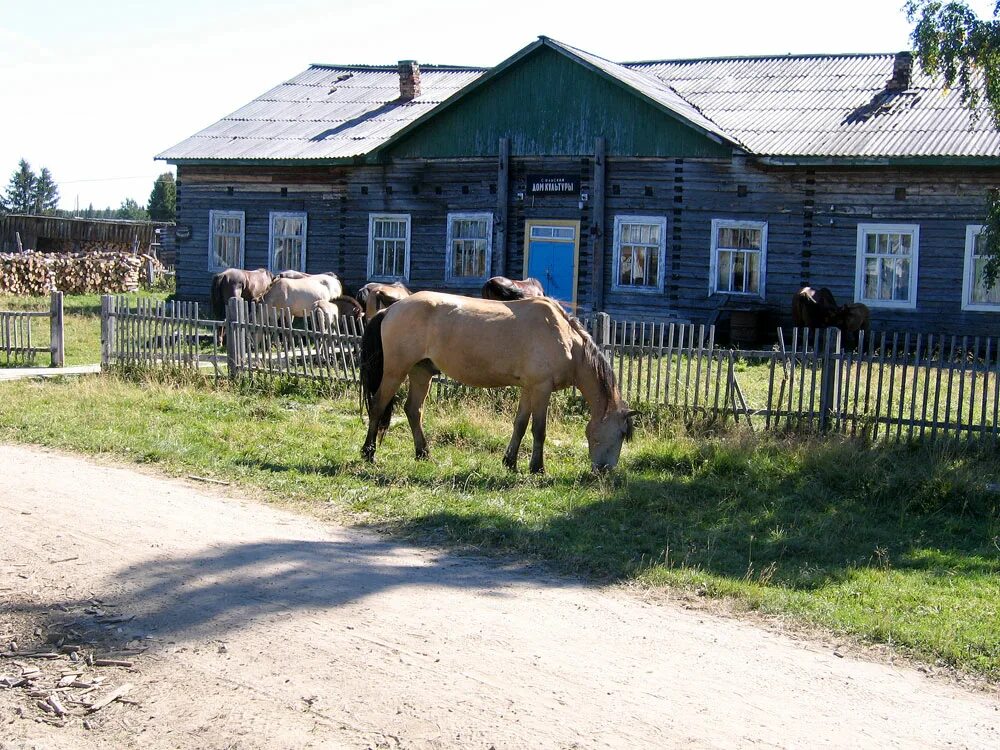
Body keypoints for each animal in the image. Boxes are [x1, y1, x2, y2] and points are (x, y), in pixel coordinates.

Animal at [360, 290, 632, 472]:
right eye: (620, 433)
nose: (605, 471)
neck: (565, 338)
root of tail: (391, 309)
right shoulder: (541, 388)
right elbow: (539, 429)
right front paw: (537, 468)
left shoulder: (529, 388)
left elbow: (520, 424)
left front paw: (510, 462)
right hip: (395, 371)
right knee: (378, 406)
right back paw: (368, 453)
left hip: (421, 372)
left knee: (413, 410)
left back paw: (424, 453)